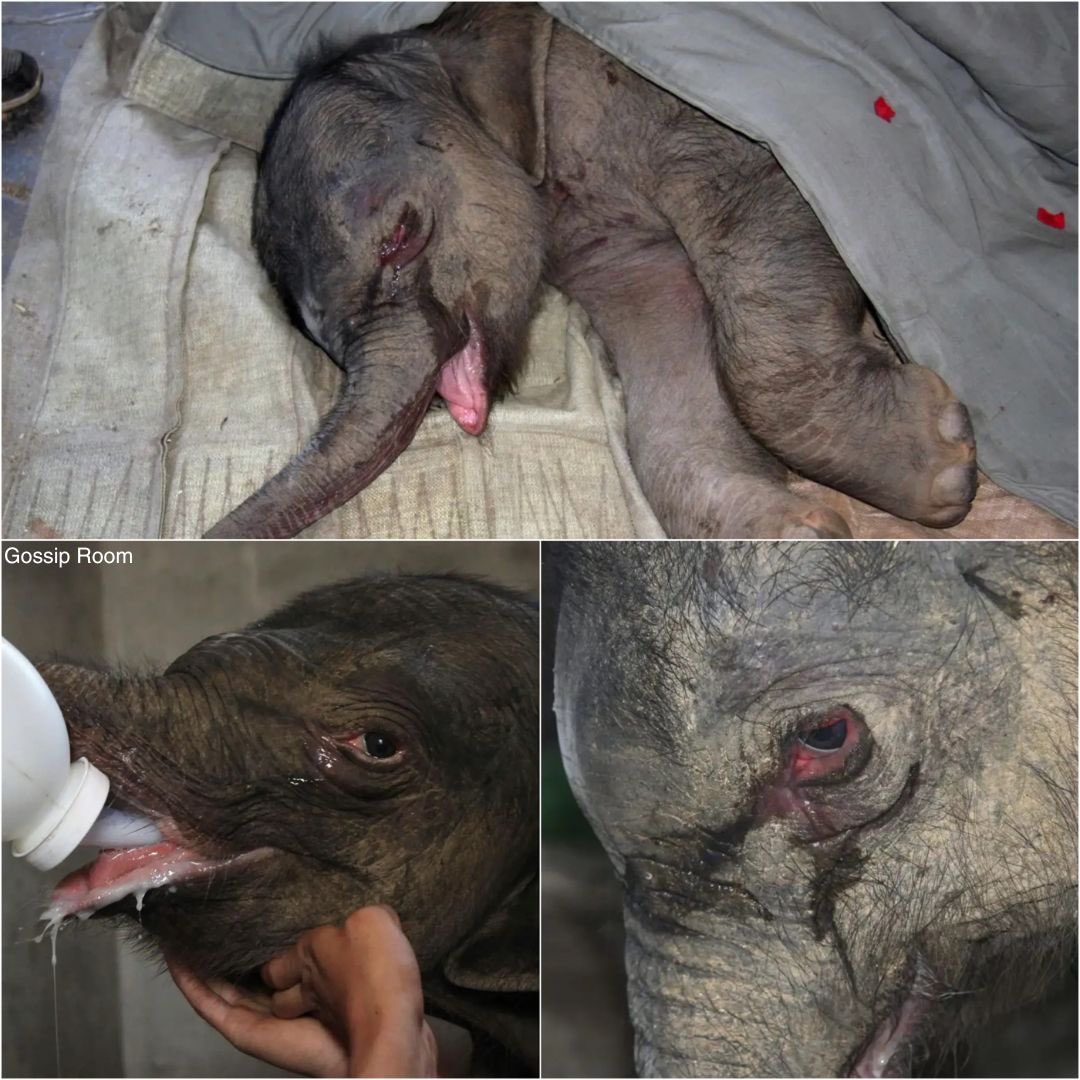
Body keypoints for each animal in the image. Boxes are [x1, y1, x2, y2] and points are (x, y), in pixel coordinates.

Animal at [206, 2, 976, 538]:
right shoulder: (607, 254)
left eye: (401, 235)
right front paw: (799, 534)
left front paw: (948, 468)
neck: (447, 37)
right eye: (326, 344)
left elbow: (756, 210)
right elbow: (672, 343)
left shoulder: (668, 109)